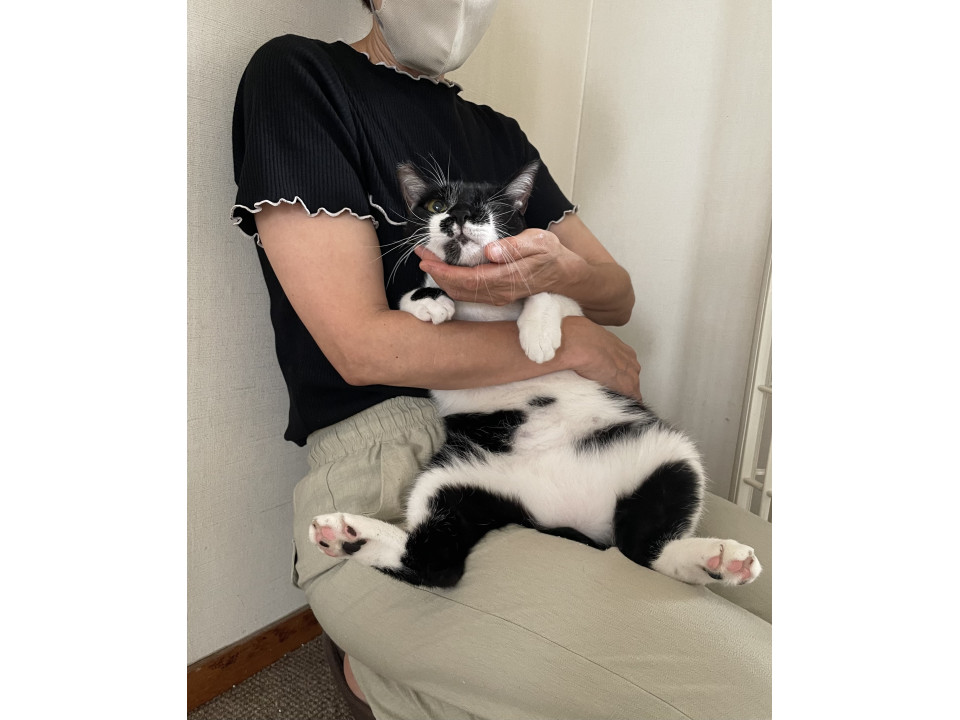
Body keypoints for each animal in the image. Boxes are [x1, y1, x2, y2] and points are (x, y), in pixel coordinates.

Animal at [308, 160, 762, 589]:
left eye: (492, 207)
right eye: (436, 205)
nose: (459, 214)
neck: (483, 305)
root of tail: (559, 515)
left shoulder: (572, 306)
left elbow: (549, 290)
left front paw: (538, 337)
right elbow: (406, 297)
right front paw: (432, 302)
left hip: (666, 453)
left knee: (644, 548)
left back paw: (720, 560)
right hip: (451, 479)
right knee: (434, 563)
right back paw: (345, 535)